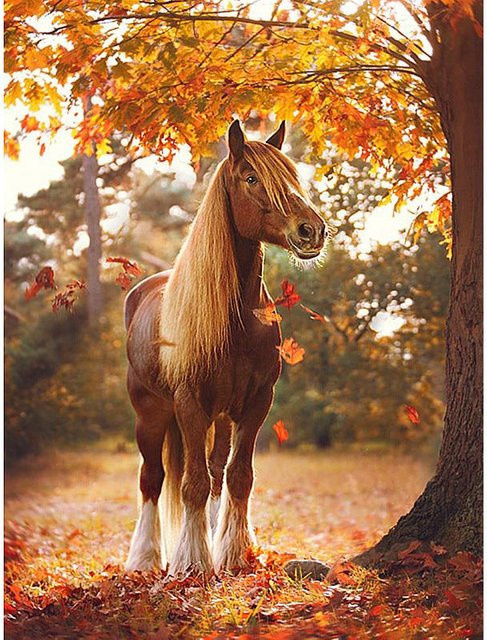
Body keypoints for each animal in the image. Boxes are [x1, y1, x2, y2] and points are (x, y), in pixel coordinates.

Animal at [124, 120, 328, 575]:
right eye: (251, 178)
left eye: (292, 176)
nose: (311, 230)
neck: (237, 321)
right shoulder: (189, 403)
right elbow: (193, 484)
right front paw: (192, 563)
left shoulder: (255, 403)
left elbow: (237, 476)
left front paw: (233, 553)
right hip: (151, 413)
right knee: (152, 479)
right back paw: (144, 558)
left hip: (219, 416)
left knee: (216, 472)